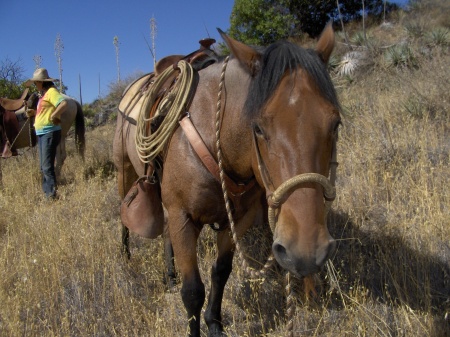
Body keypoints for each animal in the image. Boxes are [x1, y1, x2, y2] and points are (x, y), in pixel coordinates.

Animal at [113, 24, 342, 336]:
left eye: (336, 124)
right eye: (257, 127)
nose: (307, 252)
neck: (213, 133)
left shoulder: (238, 219)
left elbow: (220, 272)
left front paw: (214, 322)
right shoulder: (183, 218)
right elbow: (192, 291)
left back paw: (169, 275)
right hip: (123, 171)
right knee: (123, 217)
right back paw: (125, 256)